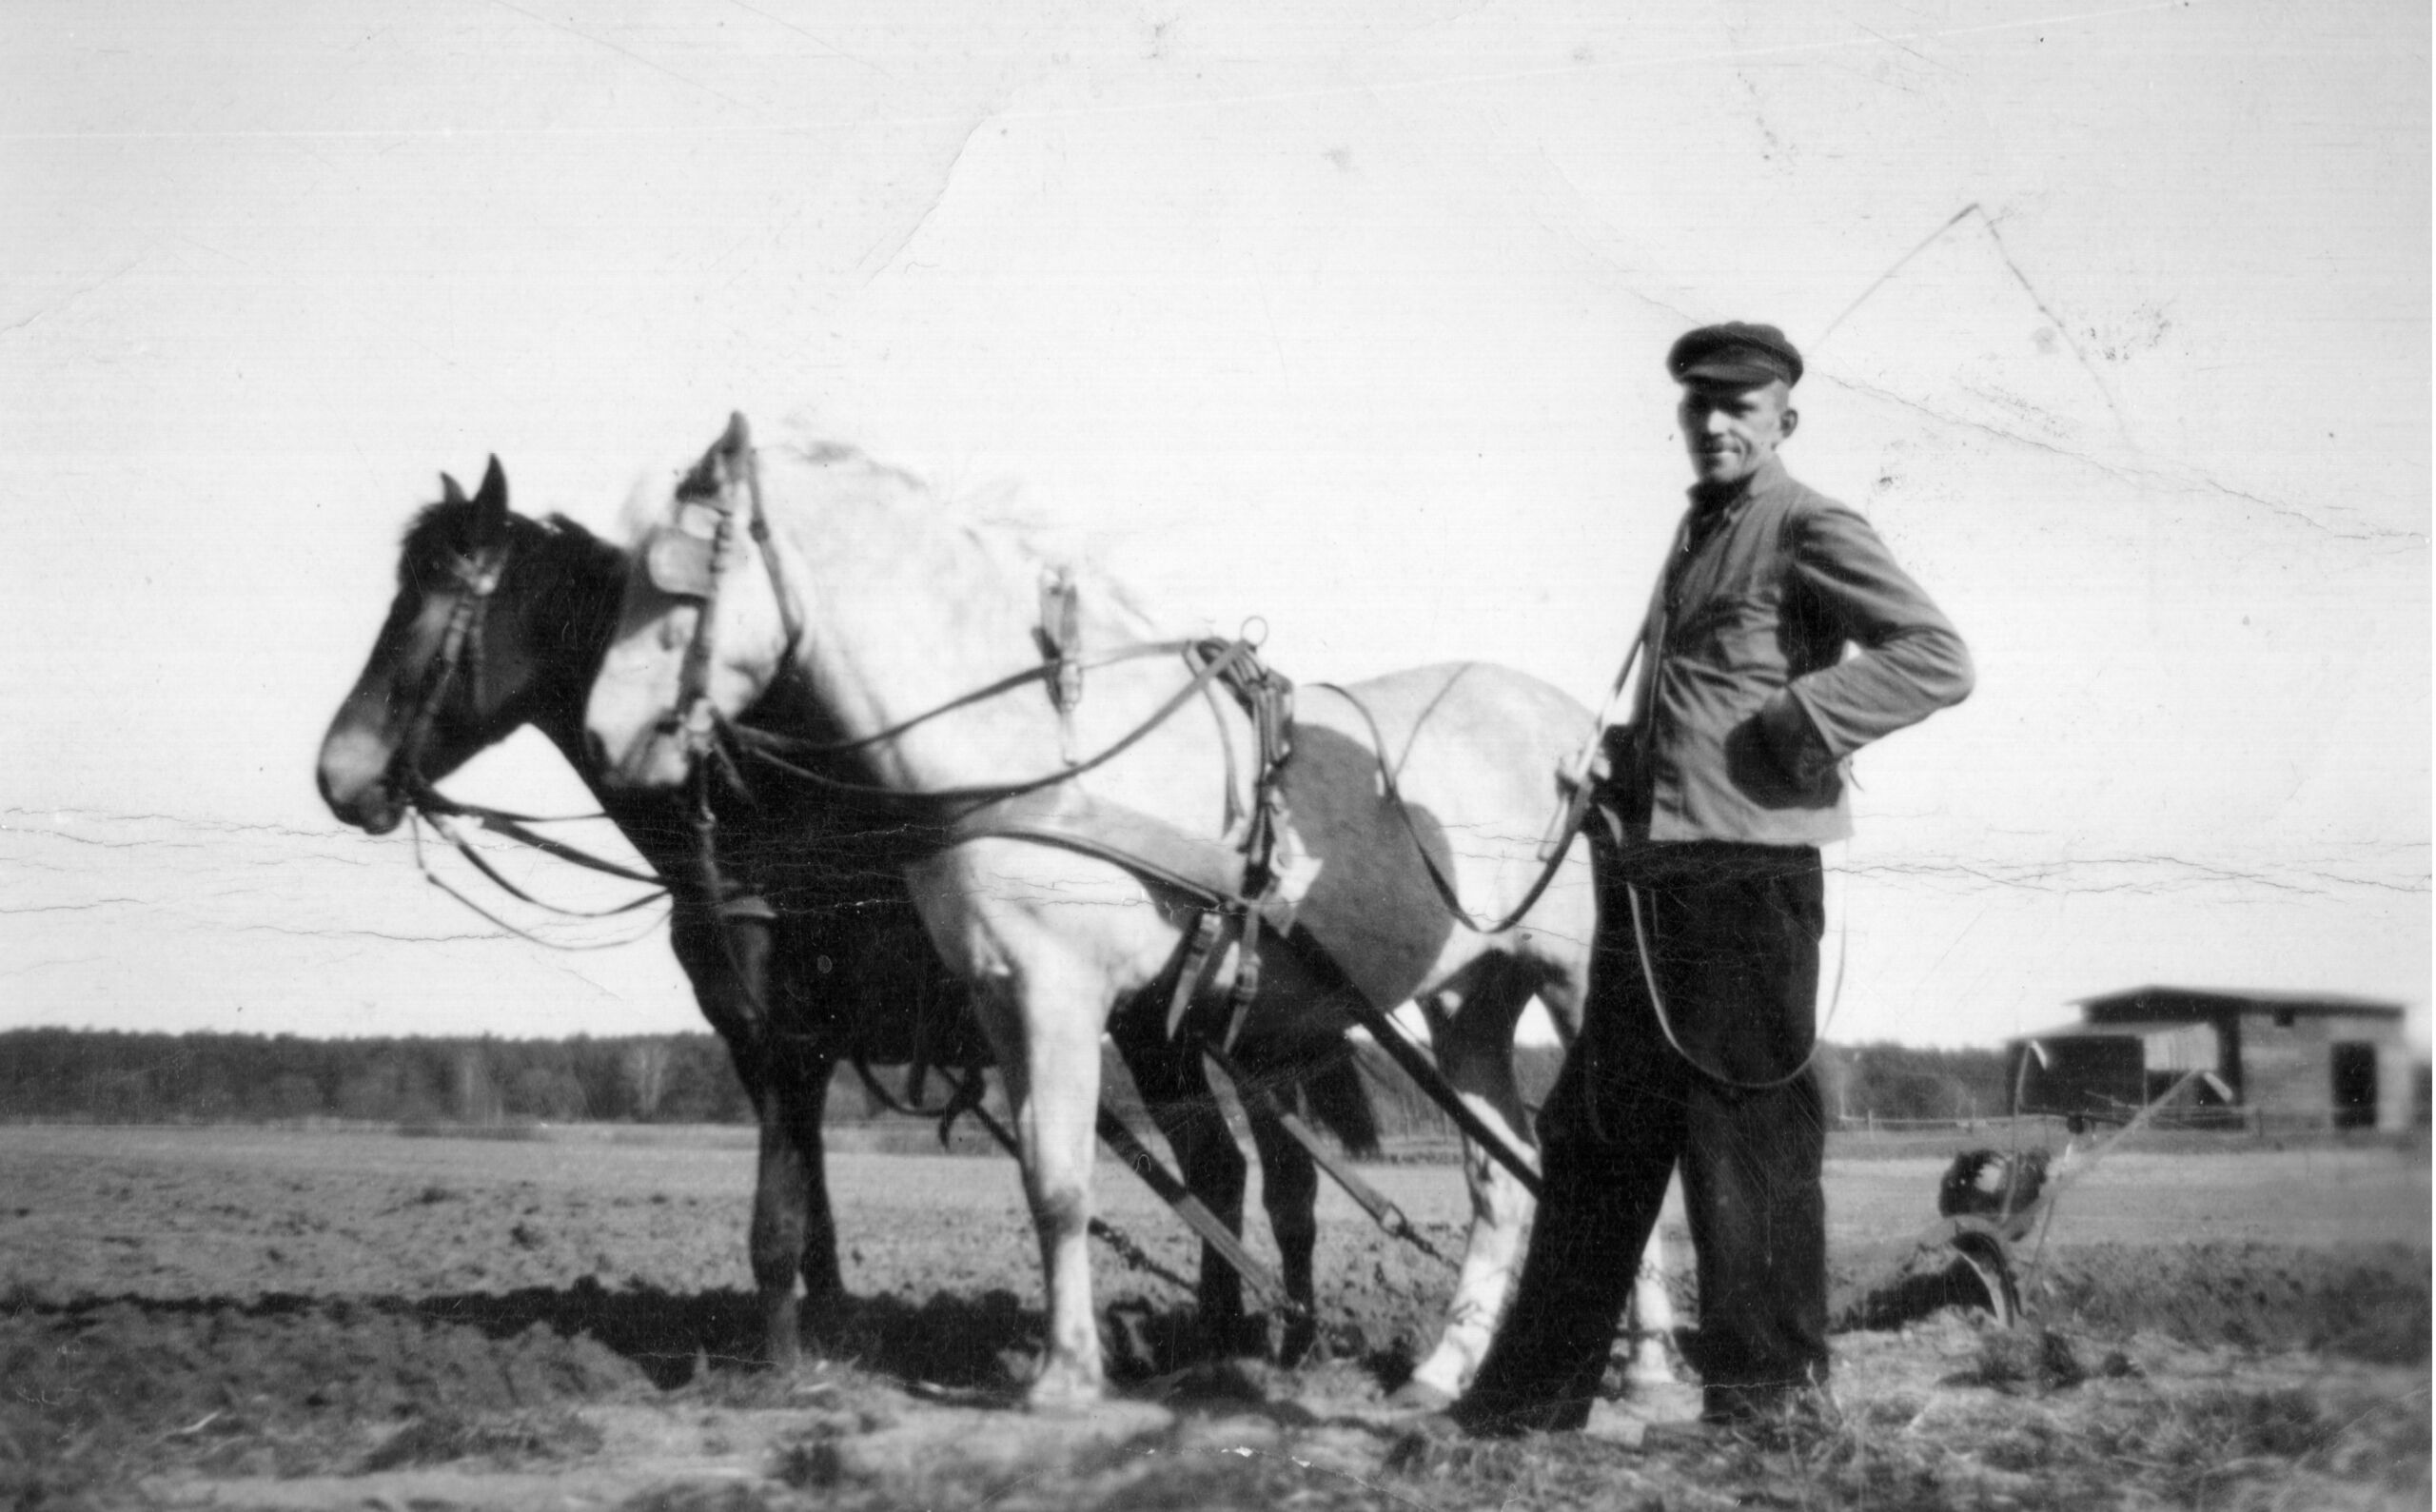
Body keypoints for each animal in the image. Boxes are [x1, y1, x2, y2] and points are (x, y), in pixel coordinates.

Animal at [313, 459, 1378, 1379]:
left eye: (433, 607)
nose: (337, 773)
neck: (763, 816)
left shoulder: (784, 1039)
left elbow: (774, 1217)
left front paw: (781, 1371)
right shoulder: (766, 1048)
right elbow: (813, 1206)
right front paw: (831, 1335)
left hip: (1192, 1033)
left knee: (1253, 1176)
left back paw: (1249, 1341)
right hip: (1201, 1035)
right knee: (1254, 1178)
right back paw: (1255, 1338)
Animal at [583, 417, 1670, 1409]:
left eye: (681, 576)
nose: (604, 735)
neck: (1033, 748)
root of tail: (1584, 738)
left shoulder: (1061, 992)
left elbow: (1067, 1181)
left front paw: (1066, 1377)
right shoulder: (1000, 995)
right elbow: (1040, 1173)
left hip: (1582, 979)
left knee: (1617, 1163)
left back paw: (1647, 1371)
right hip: (1469, 998)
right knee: (1505, 1175)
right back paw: (1448, 1372)